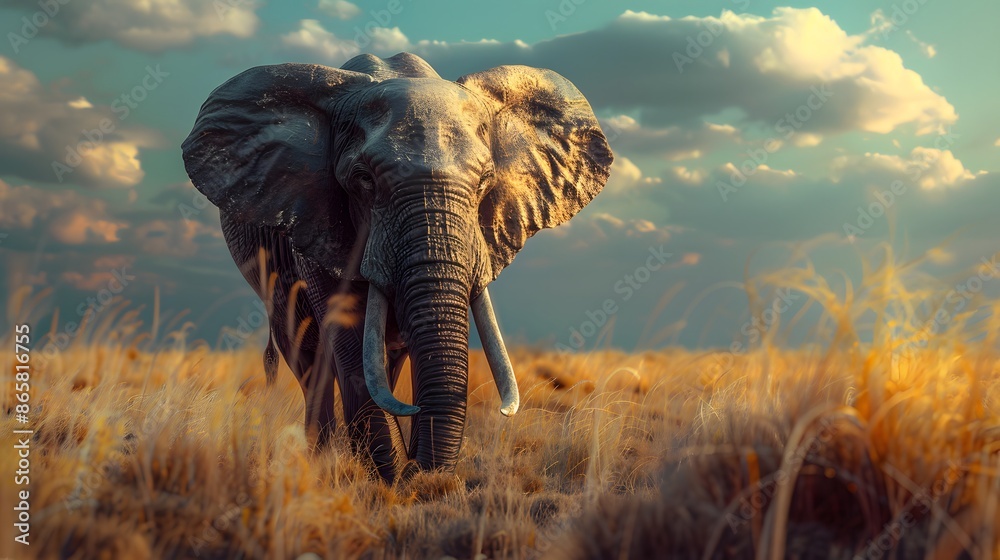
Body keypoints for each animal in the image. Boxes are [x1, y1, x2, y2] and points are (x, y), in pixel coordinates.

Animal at [181, 52, 612, 482]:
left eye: (485, 182)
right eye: (364, 181)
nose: (418, 470)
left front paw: (408, 473)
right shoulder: (315, 219)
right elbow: (348, 334)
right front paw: (388, 476)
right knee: (308, 355)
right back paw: (321, 459)